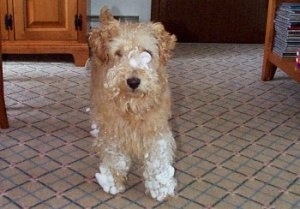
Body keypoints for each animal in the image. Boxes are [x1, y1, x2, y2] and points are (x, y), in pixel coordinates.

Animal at [88, 7, 177, 202]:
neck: (133, 109)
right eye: (118, 53)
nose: (133, 81)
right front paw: (113, 182)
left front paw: (161, 188)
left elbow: (157, 161)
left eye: (147, 52)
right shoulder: (113, 131)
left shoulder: (156, 129)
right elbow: (115, 158)